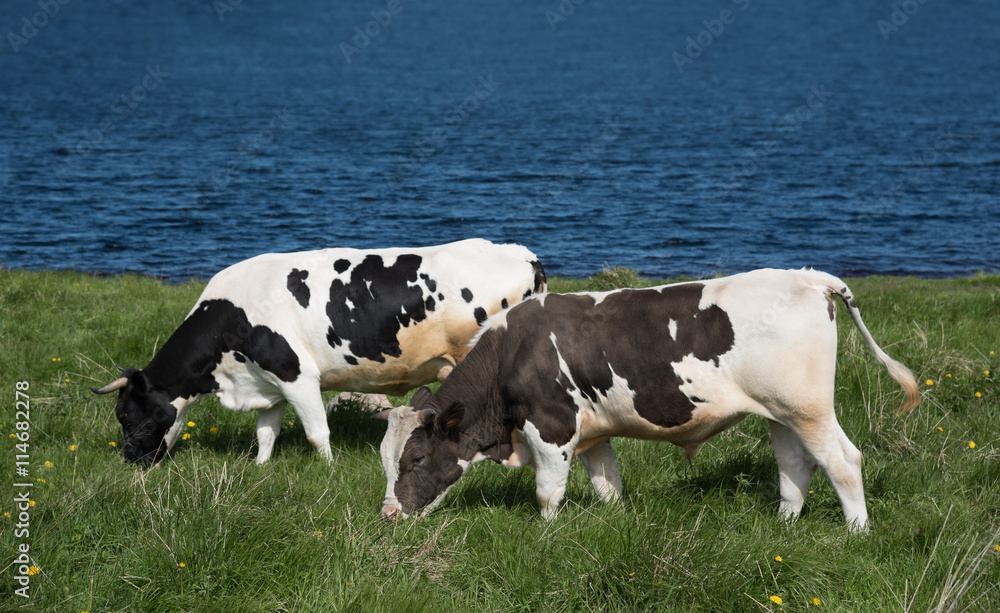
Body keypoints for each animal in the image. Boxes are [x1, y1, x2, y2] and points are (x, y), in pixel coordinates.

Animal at [92, 237, 548, 466]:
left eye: (124, 415)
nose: (130, 460)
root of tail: (521, 253)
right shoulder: (269, 381)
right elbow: (266, 432)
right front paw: (260, 469)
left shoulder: (297, 375)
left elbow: (317, 432)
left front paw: (328, 470)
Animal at [376, 268, 920, 532]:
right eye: (385, 458)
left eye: (417, 457)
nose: (389, 515)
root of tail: (810, 277)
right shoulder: (591, 433)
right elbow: (608, 485)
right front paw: (614, 523)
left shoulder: (551, 427)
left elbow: (547, 493)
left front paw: (546, 534)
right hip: (780, 412)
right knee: (795, 467)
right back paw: (785, 524)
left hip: (809, 409)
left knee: (844, 461)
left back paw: (857, 531)